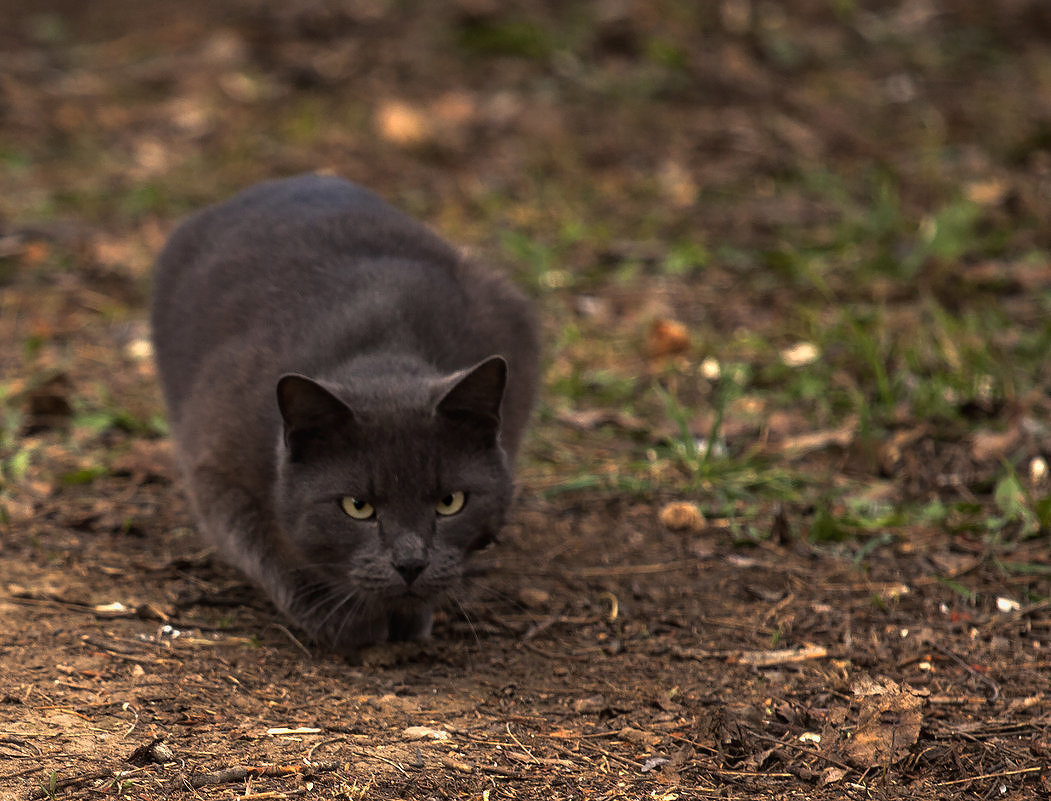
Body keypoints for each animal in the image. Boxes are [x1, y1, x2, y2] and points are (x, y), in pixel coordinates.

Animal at [150, 173, 542, 647]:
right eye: (357, 506)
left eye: (451, 502)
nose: (411, 563)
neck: (383, 350)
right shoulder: (215, 462)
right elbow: (265, 546)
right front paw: (346, 619)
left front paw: (412, 614)